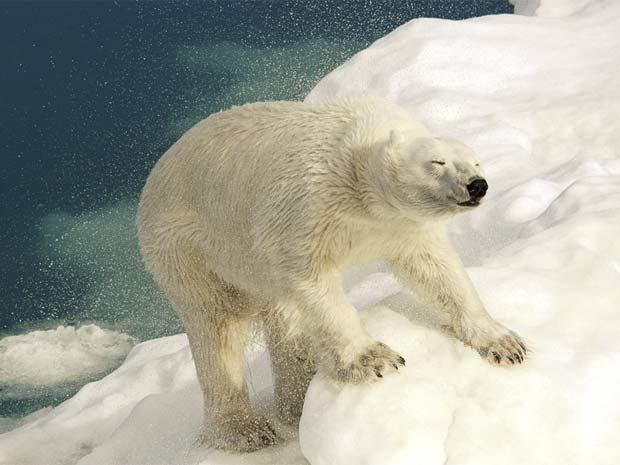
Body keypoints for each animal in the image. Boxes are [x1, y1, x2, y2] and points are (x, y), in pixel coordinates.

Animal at [138, 97, 524, 450]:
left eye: (475, 161)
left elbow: (436, 270)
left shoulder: (400, 227)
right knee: (218, 331)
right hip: (193, 250)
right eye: (437, 162)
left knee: (282, 320)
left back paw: (295, 402)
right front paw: (375, 359)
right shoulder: (307, 207)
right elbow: (312, 281)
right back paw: (244, 429)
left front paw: (504, 343)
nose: (478, 184)